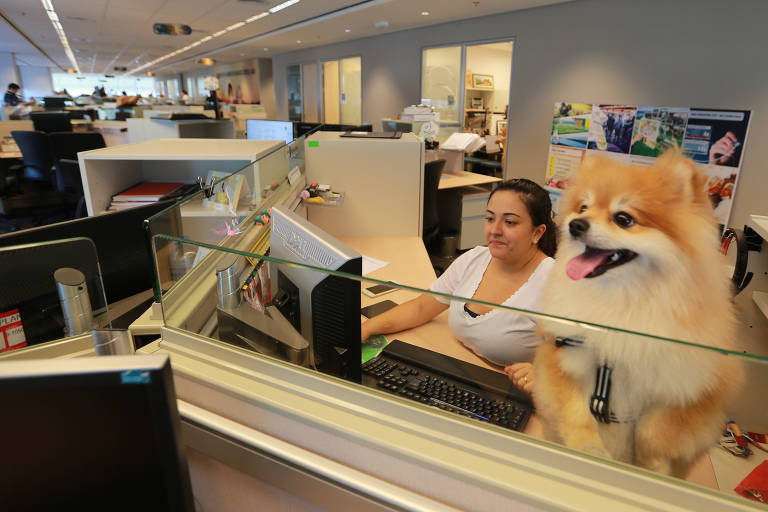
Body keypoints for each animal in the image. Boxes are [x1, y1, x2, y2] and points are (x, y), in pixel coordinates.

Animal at [532, 150, 740, 478]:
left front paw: (652, 468)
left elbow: (655, 433)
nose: (575, 224)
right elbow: (576, 414)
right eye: (583, 207)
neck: (622, 300)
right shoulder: (563, 357)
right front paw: (587, 449)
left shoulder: (696, 390)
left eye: (623, 219)